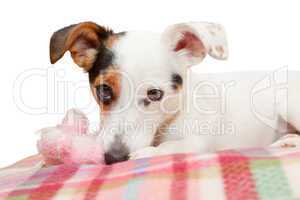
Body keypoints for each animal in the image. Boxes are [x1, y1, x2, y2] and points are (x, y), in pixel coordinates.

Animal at [49, 21, 300, 164]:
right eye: (104, 90)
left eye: (155, 94)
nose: (113, 158)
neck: (169, 120)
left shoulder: (199, 143)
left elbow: (173, 147)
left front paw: (147, 153)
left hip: (289, 104)